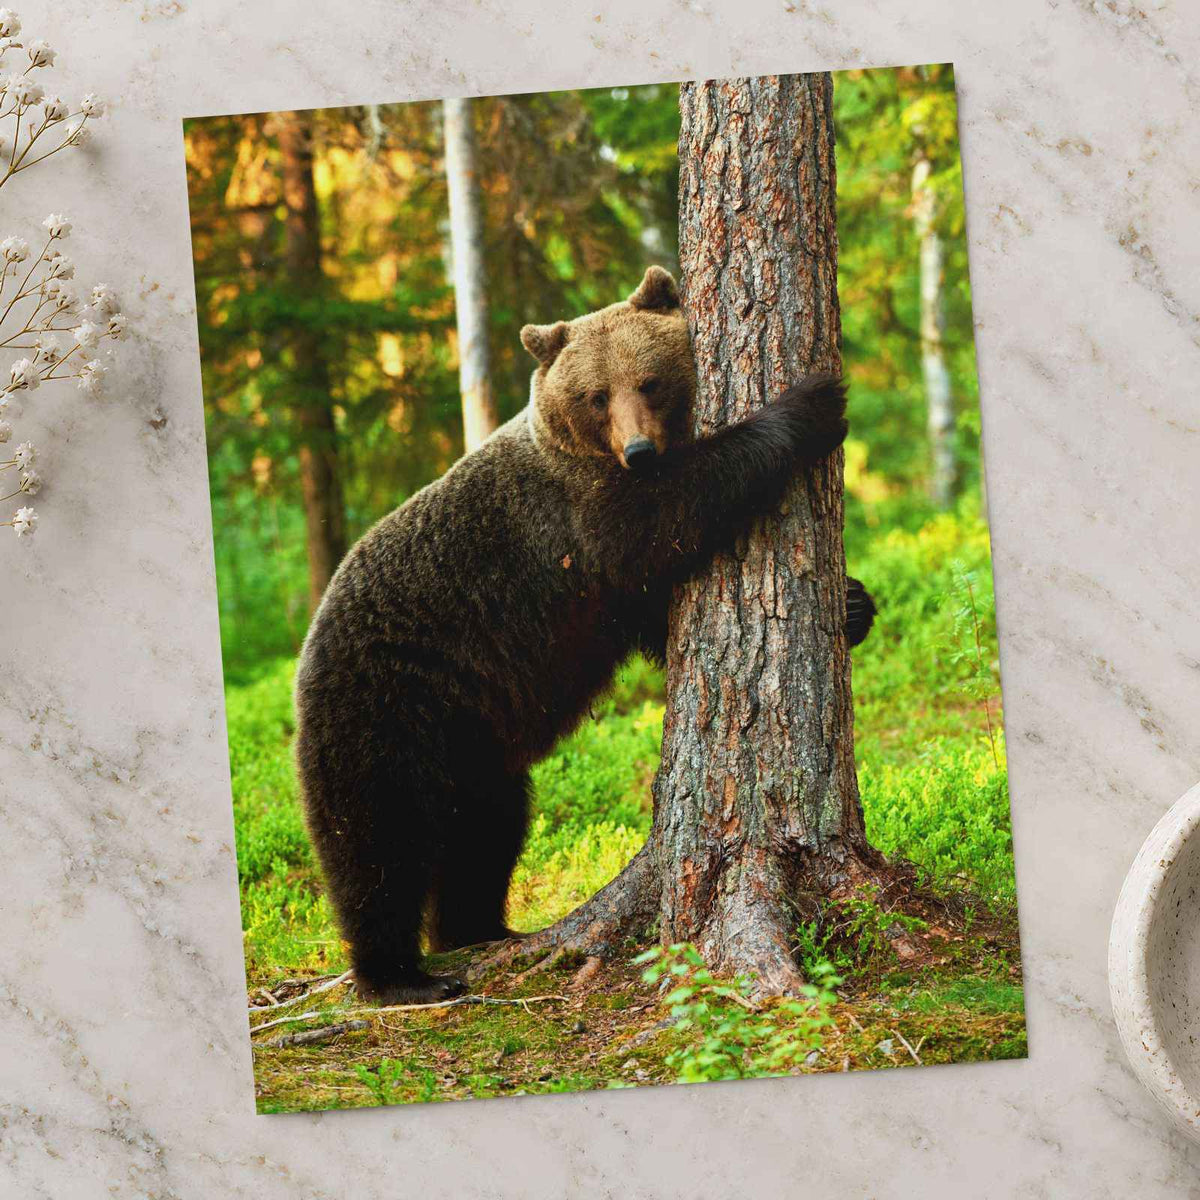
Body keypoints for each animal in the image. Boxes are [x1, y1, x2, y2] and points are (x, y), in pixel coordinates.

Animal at [293, 265, 875, 1004]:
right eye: (596, 396)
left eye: (649, 381)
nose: (640, 450)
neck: (589, 455)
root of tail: (306, 652)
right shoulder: (575, 524)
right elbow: (668, 520)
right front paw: (811, 404)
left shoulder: (605, 589)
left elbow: (662, 613)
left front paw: (854, 605)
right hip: (384, 707)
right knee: (377, 840)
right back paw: (400, 975)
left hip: (472, 740)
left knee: (487, 828)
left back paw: (481, 930)